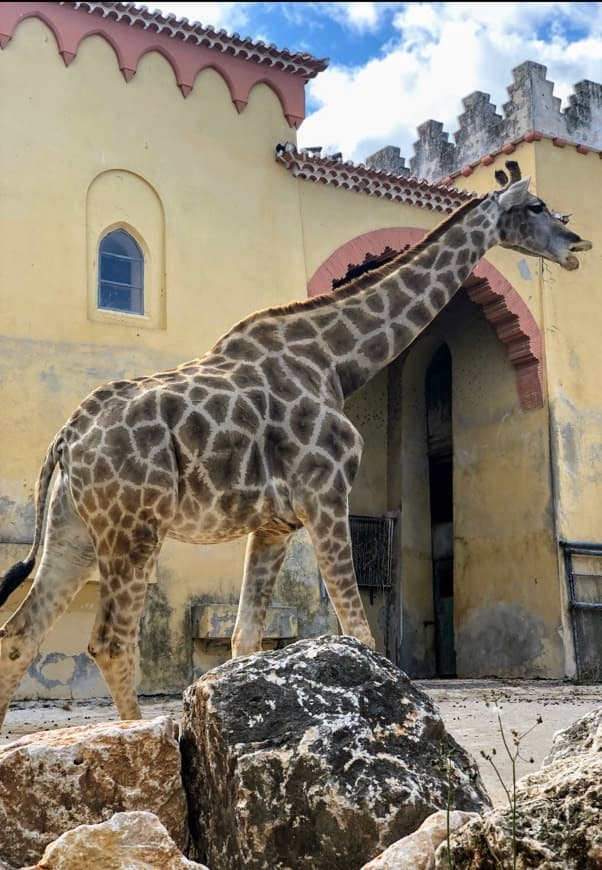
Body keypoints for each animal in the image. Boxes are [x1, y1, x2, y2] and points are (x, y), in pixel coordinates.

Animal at [0, 165, 592, 728]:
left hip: (74, 534)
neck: (337, 359)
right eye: (535, 206)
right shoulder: (325, 495)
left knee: (19, 636)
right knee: (110, 643)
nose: (577, 245)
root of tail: (67, 436)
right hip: (133, 529)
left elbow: (244, 639)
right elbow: (360, 632)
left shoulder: (274, 525)